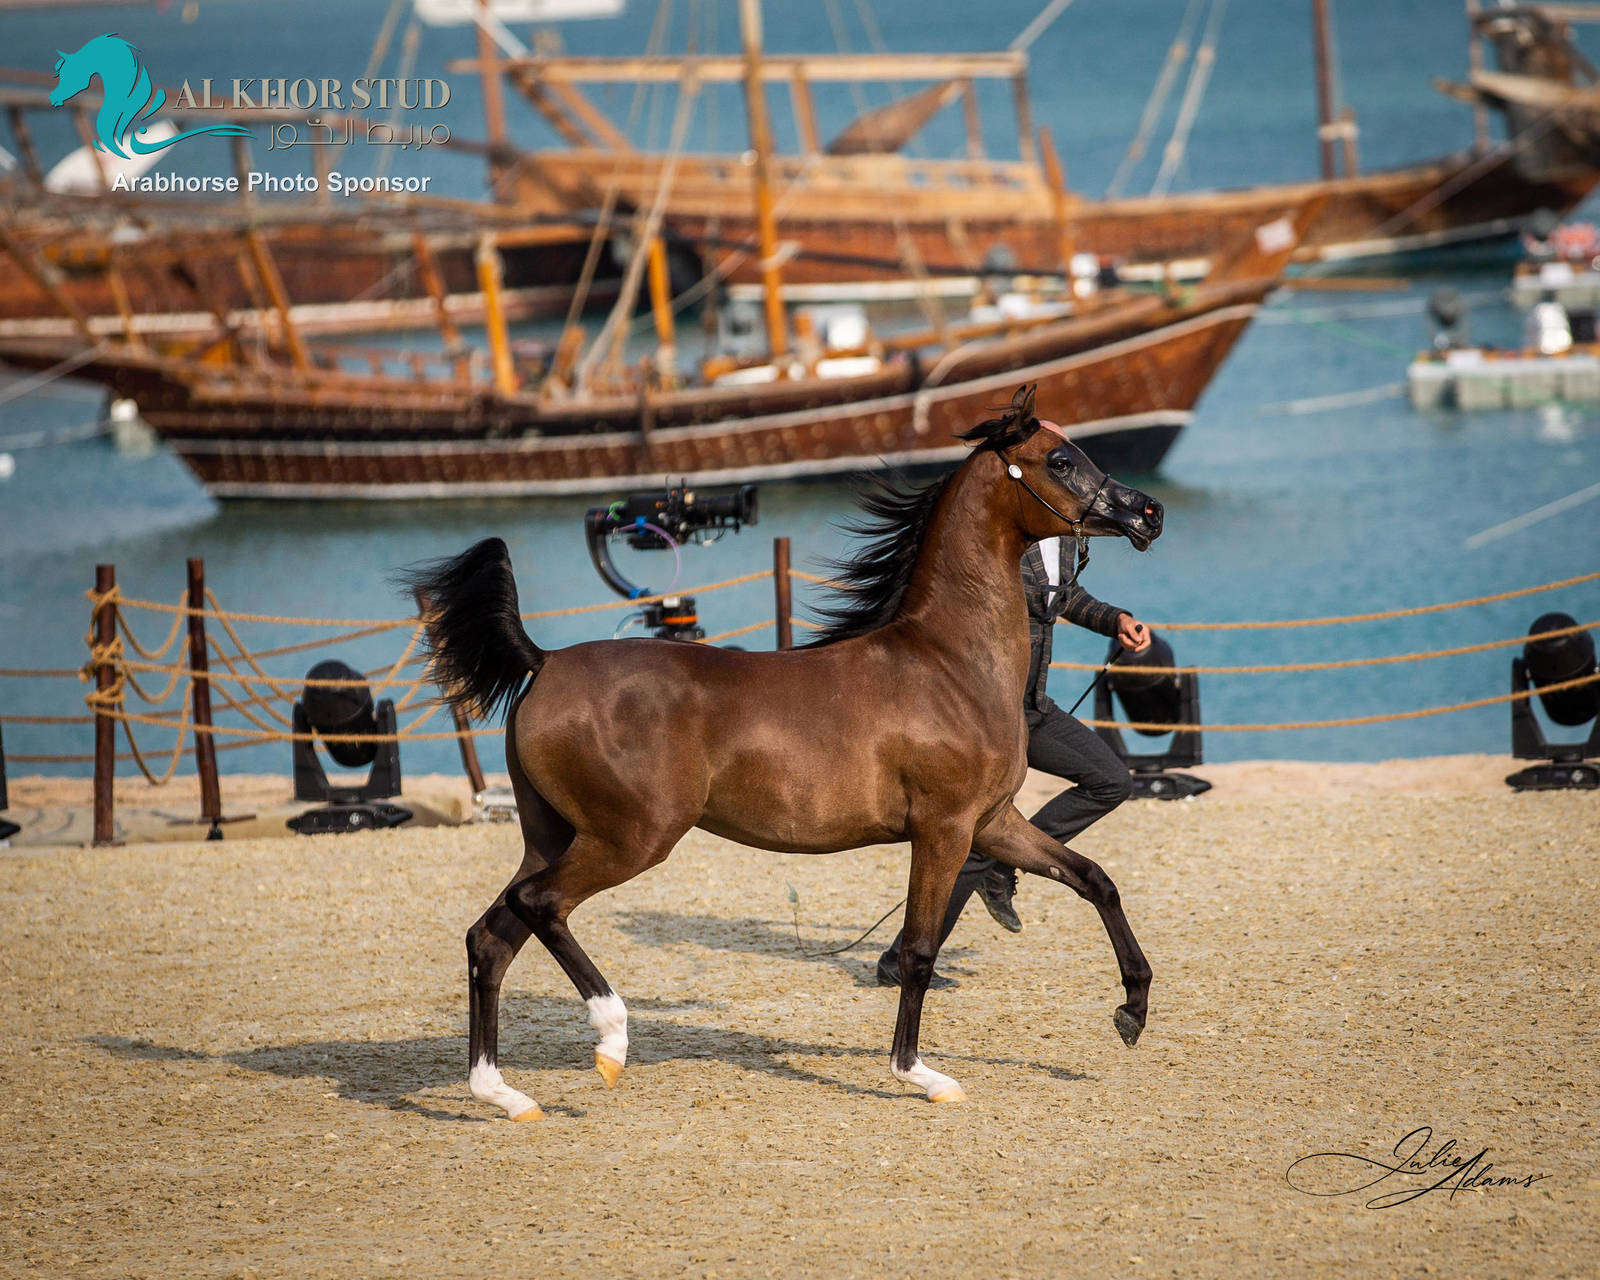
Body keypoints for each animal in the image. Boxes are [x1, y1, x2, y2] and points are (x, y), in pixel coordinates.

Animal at [406, 385, 1162, 1120]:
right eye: (1059, 460)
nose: (1147, 513)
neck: (949, 663)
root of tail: (545, 661)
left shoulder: (994, 822)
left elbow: (1094, 878)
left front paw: (1132, 1010)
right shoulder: (943, 830)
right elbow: (919, 950)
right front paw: (920, 1074)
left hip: (553, 835)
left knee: (491, 937)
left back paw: (503, 1094)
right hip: (632, 838)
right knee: (540, 905)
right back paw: (611, 1039)